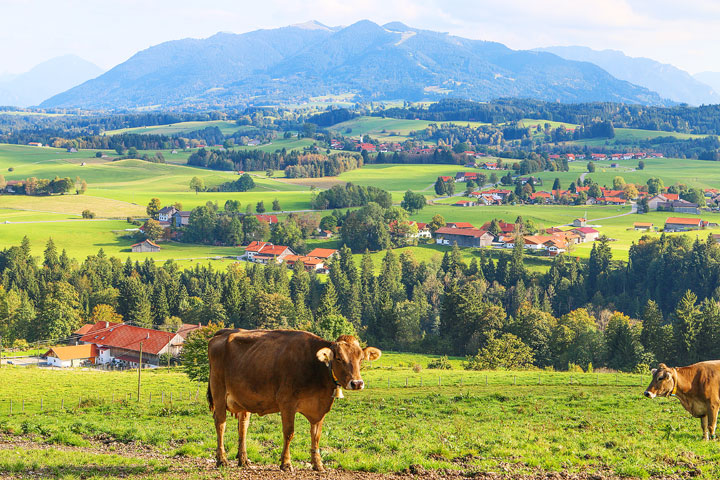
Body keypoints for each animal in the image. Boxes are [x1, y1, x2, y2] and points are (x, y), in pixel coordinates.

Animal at [205, 328, 380, 470]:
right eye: (338, 358)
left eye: (361, 358)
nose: (357, 383)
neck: (315, 367)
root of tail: (224, 332)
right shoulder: (287, 403)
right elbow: (289, 433)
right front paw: (286, 463)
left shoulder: (320, 408)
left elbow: (316, 435)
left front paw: (318, 464)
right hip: (219, 392)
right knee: (220, 423)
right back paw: (222, 460)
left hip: (243, 398)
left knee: (243, 426)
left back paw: (243, 460)